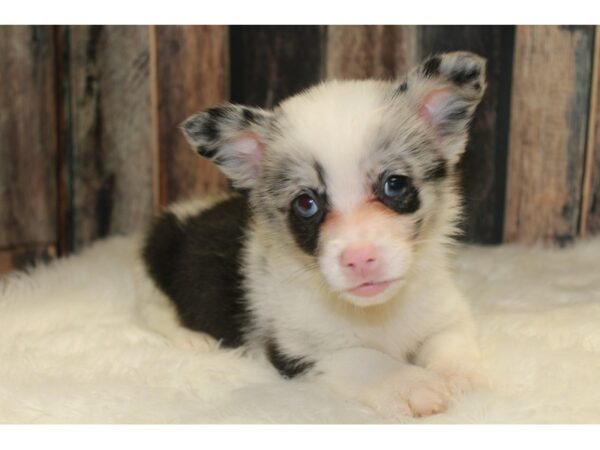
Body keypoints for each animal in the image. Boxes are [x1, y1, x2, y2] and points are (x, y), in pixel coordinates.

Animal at [145, 51, 488, 418]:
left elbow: (451, 345)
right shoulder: (303, 352)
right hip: (155, 266)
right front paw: (412, 384)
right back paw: (192, 338)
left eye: (395, 184)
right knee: (153, 311)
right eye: (306, 204)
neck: (375, 312)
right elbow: (365, 360)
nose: (360, 260)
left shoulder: (447, 316)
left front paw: (461, 378)